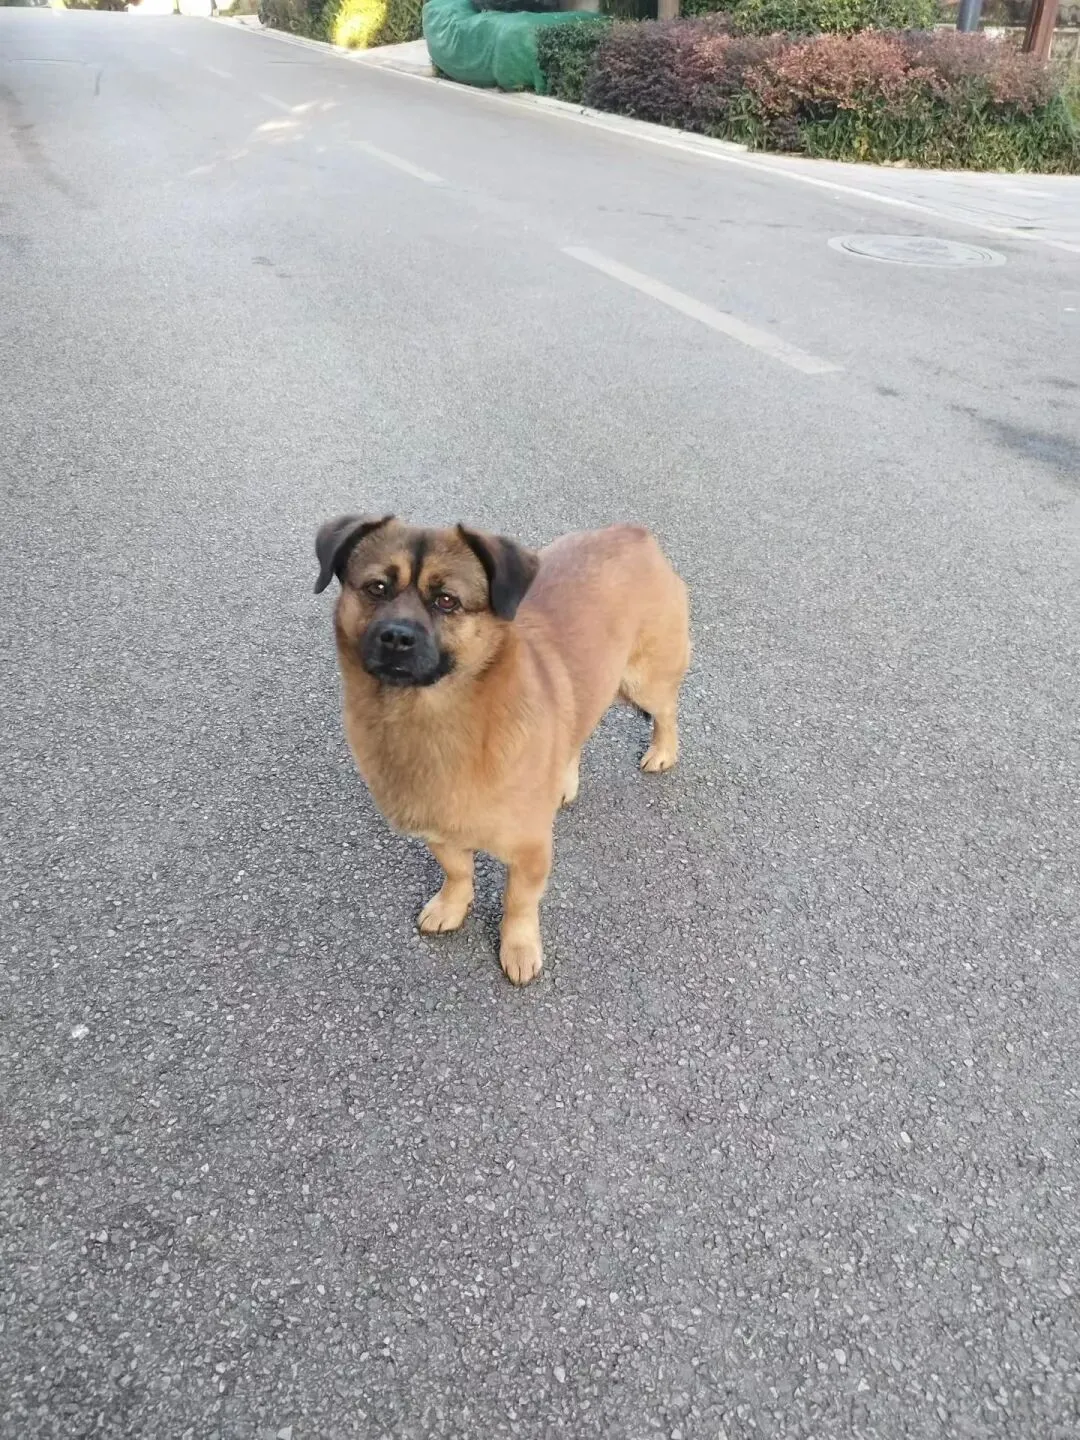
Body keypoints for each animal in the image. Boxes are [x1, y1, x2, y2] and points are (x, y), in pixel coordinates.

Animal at [314, 516, 689, 986]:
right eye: (376, 588)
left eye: (447, 601)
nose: (395, 637)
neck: (433, 718)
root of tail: (632, 532)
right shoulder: (439, 831)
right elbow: (457, 871)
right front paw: (452, 905)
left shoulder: (530, 852)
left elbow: (518, 903)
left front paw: (519, 947)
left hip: (644, 682)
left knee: (667, 711)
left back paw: (662, 750)